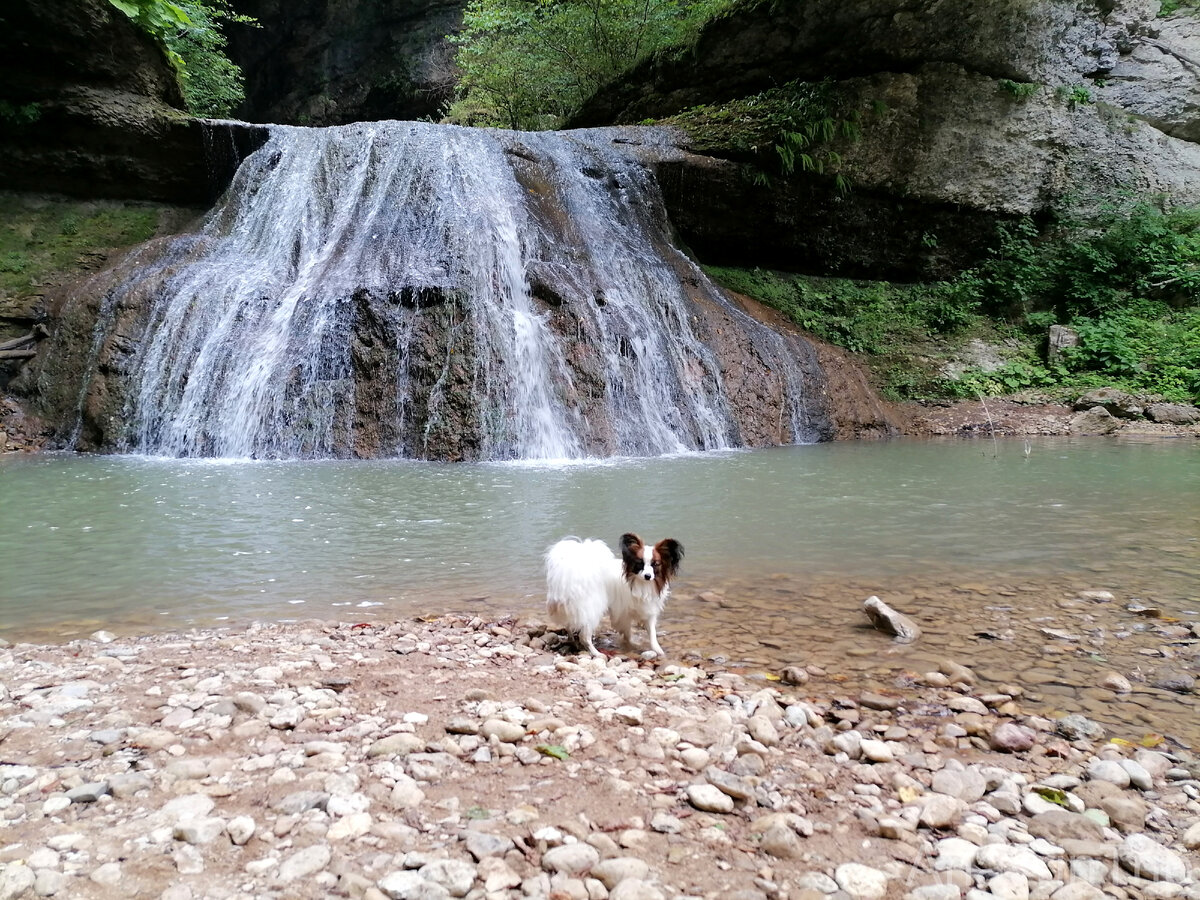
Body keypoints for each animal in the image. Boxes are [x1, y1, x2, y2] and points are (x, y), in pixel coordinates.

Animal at [544, 532, 686, 657]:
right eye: (639, 563)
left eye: (655, 564)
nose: (648, 576)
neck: (640, 584)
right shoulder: (623, 612)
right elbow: (628, 632)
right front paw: (632, 643)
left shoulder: (648, 609)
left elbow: (652, 633)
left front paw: (657, 650)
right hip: (592, 609)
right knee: (584, 636)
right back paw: (596, 653)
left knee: (569, 625)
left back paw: (572, 640)